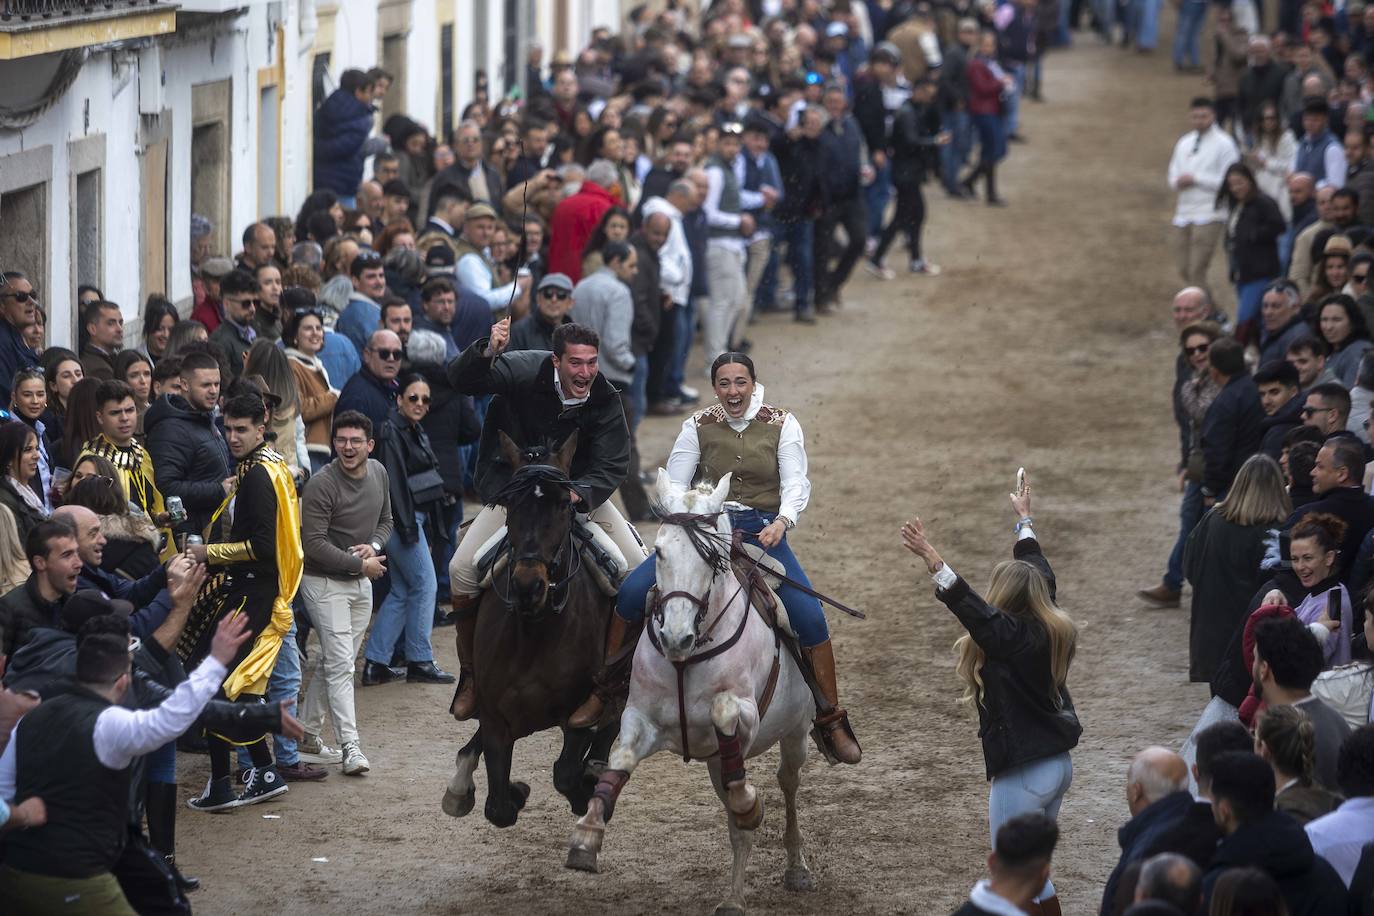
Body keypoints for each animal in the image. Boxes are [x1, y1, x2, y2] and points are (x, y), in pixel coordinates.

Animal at [442, 433, 621, 829]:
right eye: (511, 504)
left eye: (564, 505)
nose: (528, 586)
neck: (535, 634)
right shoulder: (496, 718)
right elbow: (498, 809)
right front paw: (515, 791)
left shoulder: (575, 718)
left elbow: (566, 774)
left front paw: (587, 789)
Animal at [566, 472, 813, 916]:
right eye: (659, 552)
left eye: (711, 556)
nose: (674, 637)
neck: (689, 655)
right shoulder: (641, 719)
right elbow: (619, 760)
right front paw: (587, 836)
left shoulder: (747, 715)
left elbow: (723, 711)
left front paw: (753, 804)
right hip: (717, 764)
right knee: (737, 819)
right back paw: (733, 896)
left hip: (796, 732)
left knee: (786, 783)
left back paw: (794, 866)